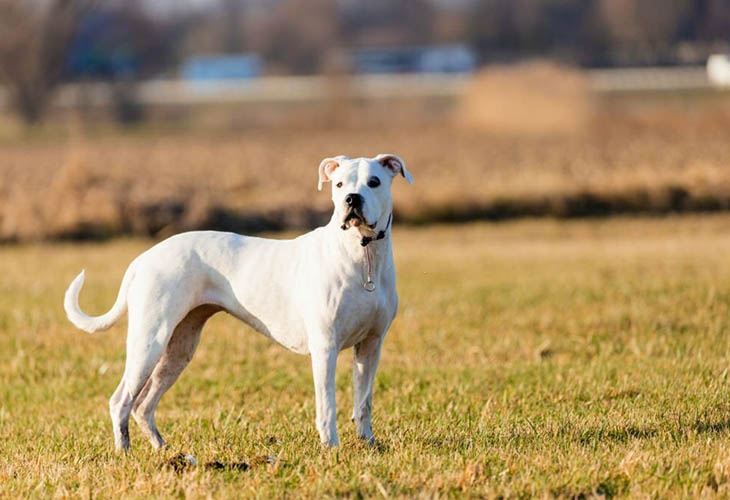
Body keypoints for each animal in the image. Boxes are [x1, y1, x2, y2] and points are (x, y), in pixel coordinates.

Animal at [64, 151, 410, 450]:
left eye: (374, 182)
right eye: (339, 185)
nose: (352, 199)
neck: (362, 253)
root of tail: (143, 259)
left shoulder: (370, 345)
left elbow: (363, 402)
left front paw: (368, 444)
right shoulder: (325, 347)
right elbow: (327, 405)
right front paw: (331, 449)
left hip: (179, 348)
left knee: (143, 404)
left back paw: (163, 449)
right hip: (149, 341)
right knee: (121, 400)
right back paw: (124, 451)